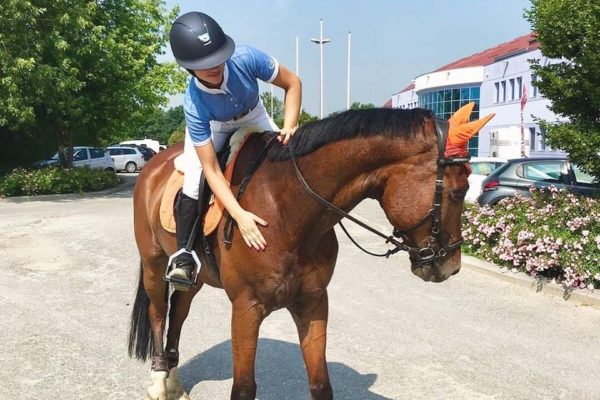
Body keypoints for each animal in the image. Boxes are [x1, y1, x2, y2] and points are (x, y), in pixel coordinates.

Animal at [127, 104, 492, 400]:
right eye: (459, 191)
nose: (451, 265)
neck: (286, 208)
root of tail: (153, 165)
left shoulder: (313, 302)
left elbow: (320, 385)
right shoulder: (246, 309)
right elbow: (243, 388)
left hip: (196, 276)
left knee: (179, 311)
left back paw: (174, 381)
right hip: (153, 264)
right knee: (159, 313)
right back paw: (159, 382)